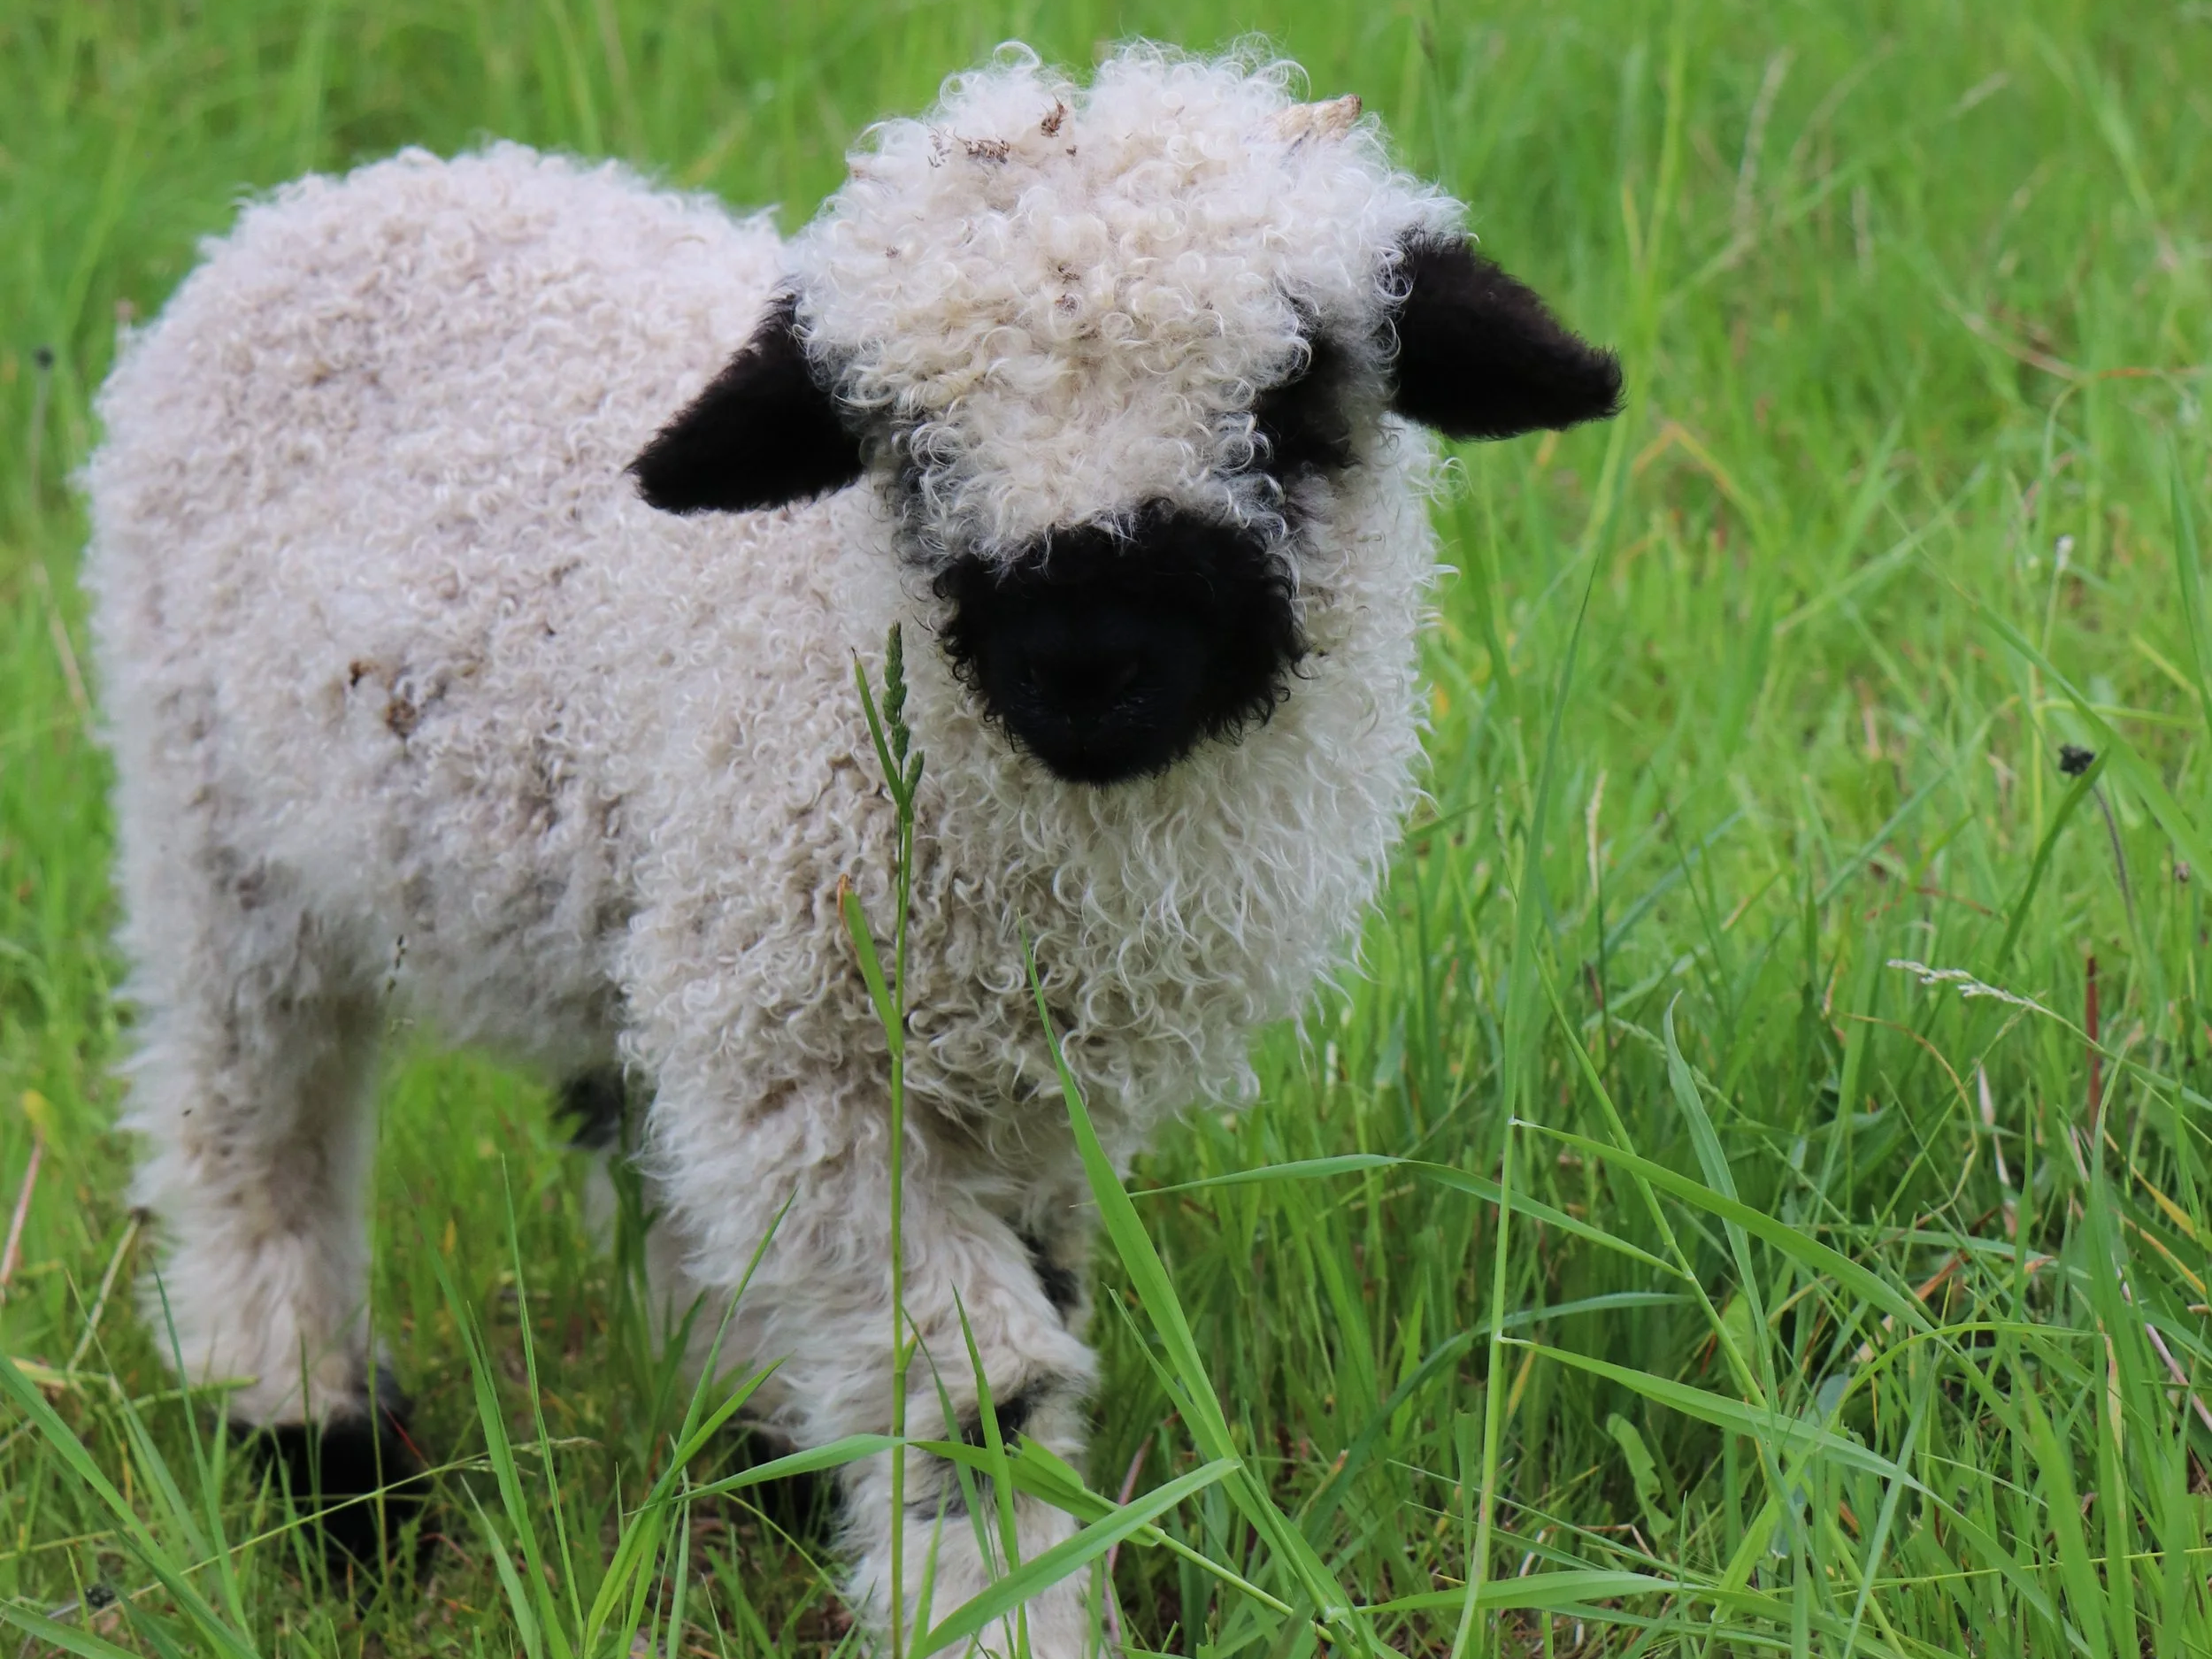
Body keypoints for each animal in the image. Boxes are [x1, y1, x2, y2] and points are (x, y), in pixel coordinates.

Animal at [82, 41, 1619, 1649]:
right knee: (250, 1134)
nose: (1087, 661)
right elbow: (977, 1387)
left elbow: (1030, 1318)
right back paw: (320, 1450)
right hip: (216, 837)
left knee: (638, 1146)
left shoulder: (1023, 1093)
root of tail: (330, 202)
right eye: (911, 447)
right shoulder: (813, 1067)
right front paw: (999, 1610)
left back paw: (741, 1438)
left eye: (1293, 397)